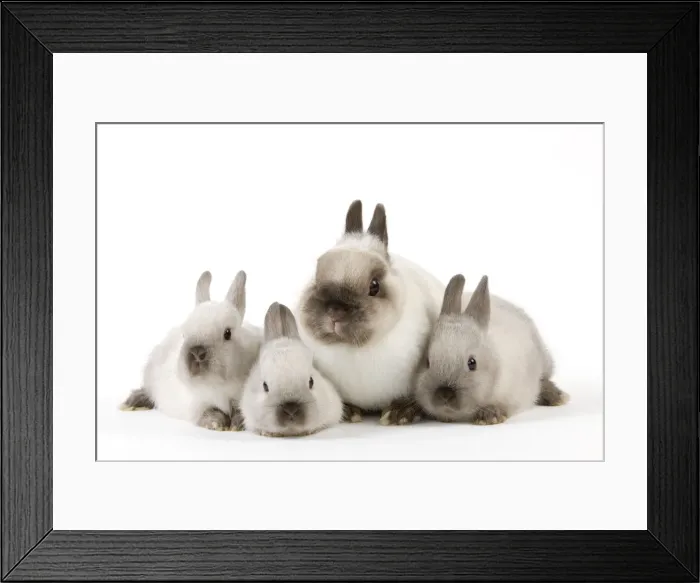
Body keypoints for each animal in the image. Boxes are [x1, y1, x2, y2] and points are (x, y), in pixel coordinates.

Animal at [120, 270, 262, 431]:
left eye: (227, 333)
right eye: (185, 334)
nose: (196, 353)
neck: (218, 385)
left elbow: (241, 410)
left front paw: (237, 424)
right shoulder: (196, 404)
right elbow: (208, 411)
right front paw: (216, 424)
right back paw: (132, 402)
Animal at [296, 199, 445, 426]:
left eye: (374, 286)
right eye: (315, 277)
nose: (334, 311)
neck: (356, 349)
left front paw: (399, 413)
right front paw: (349, 412)